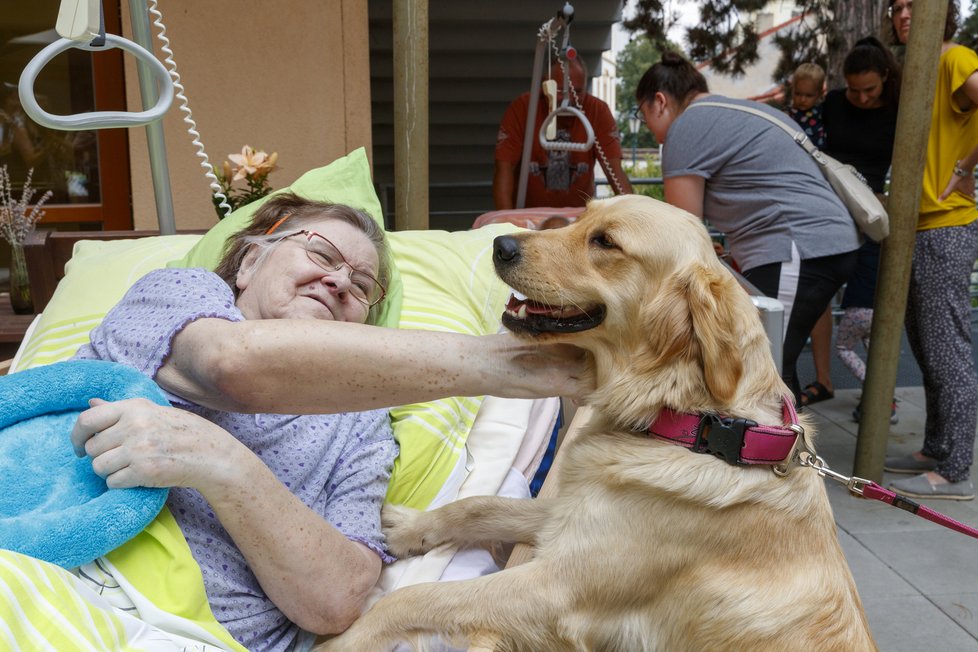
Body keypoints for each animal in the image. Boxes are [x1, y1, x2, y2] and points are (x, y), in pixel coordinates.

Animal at [316, 195, 872, 652]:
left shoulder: (557, 589)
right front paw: (412, 529)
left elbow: (417, 599)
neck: (696, 426)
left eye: (605, 242)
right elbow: (477, 506)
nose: (501, 243)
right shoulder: (564, 516)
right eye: (581, 217)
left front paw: (345, 641)